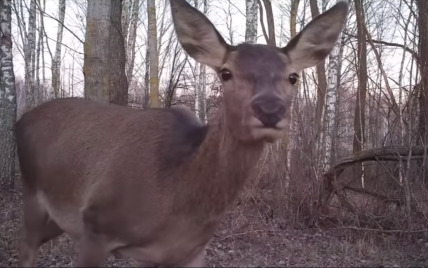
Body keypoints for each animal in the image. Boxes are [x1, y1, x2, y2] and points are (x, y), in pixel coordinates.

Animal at [15, 0, 348, 266]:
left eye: (293, 76)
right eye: (225, 72)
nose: (269, 109)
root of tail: (21, 120)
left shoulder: (186, 252)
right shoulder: (96, 226)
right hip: (31, 194)